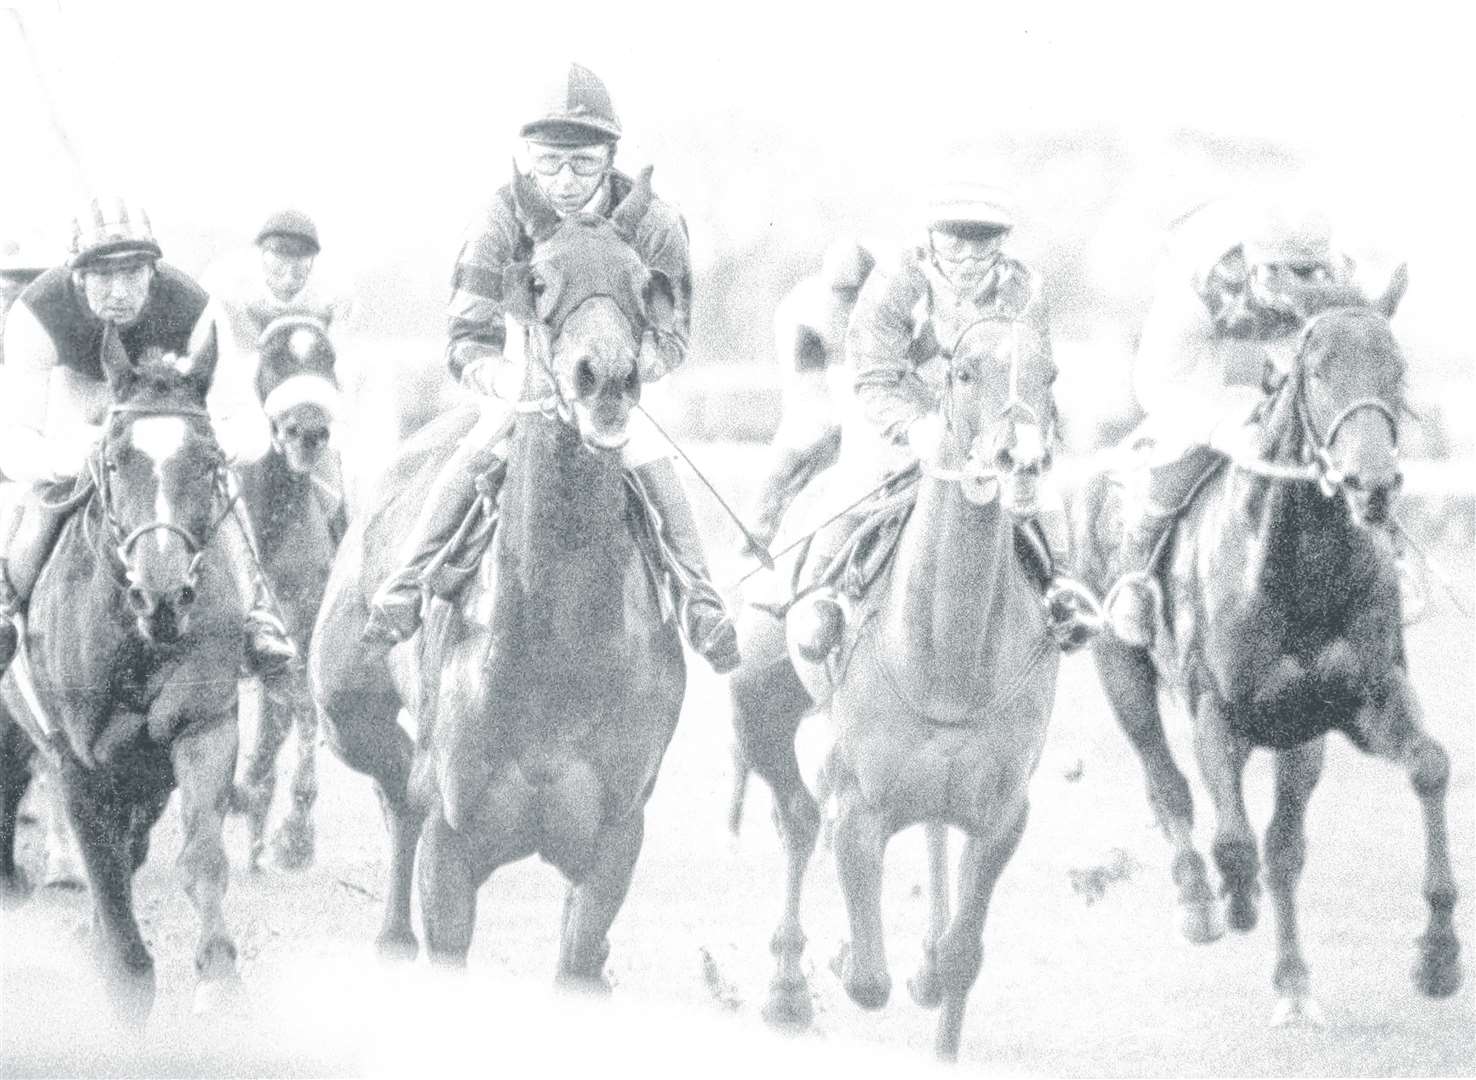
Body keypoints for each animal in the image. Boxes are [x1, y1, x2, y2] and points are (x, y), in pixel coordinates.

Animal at [0, 327, 245, 1020]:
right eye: (114, 463)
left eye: (207, 462)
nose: (162, 595)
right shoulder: (78, 760)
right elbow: (105, 874)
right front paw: (127, 979)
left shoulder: (203, 726)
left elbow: (200, 854)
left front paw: (219, 978)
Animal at [309, 164, 684, 973]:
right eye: (538, 280)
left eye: (643, 281)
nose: (606, 377)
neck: (560, 645)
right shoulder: (452, 847)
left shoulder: (614, 844)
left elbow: (580, 956)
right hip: (346, 709)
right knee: (395, 788)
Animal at [732, 315, 1068, 1056]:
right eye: (965, 372)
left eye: (1050, 373)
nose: (1020, 460)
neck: (949, 660)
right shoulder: (859, 806)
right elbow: (866, 978)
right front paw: (842, 958)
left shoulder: (1002, 814)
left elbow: (962, 958)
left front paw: (935, 974)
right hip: (758, 703)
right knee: (797, 818)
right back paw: (786, 990)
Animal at [1074, 300, 1464, 1020]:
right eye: (1317, 371)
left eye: (1396, 368)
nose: (1372, 483)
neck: (1300, 571)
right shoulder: (1215, 709)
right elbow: (1231, 837)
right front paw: (1234, 899)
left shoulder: (1362, 700)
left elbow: (1428, 766)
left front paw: (1439, 954)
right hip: (1120, 667)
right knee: (1166, 783)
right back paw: (1199, 900)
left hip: (1300, 735)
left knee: (1283, 846)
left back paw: (1293, 981)